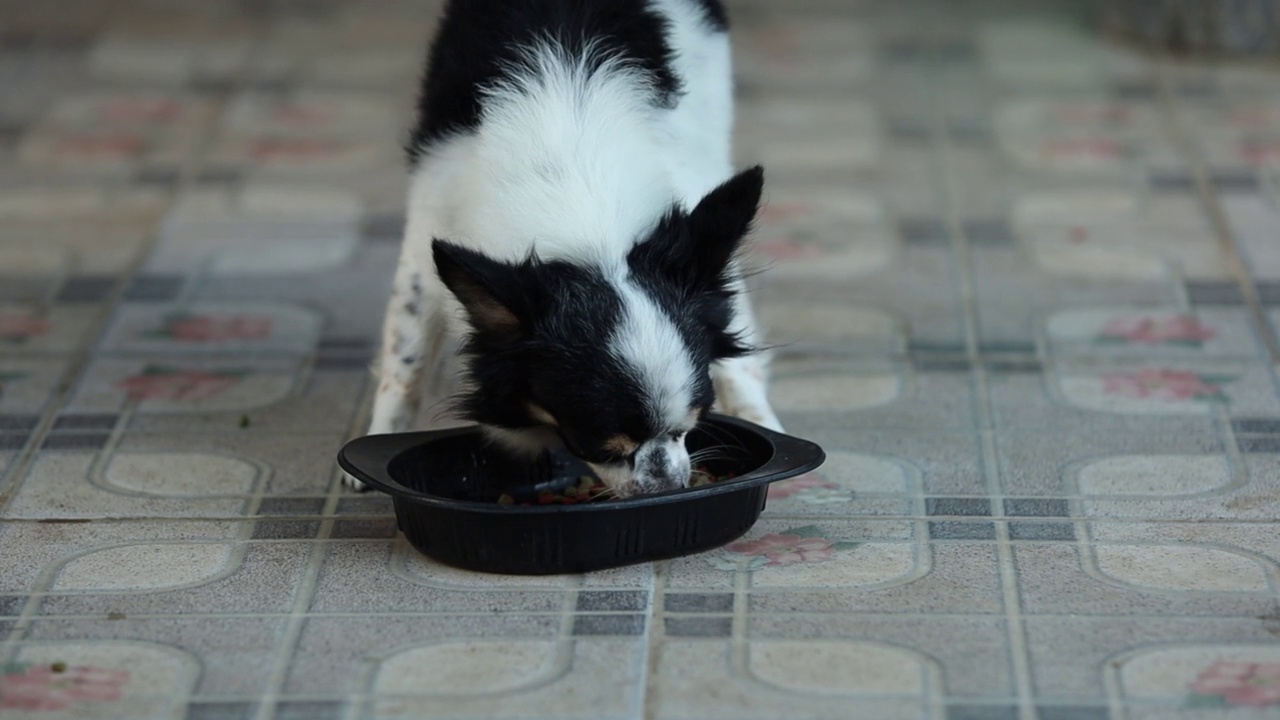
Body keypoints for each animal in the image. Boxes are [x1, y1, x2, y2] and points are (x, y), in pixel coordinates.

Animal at [350, 0, 783, 491]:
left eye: (689, 427)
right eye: (601, 446)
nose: (670, 486)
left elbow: (736, 343)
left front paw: (758, 418)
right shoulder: (429, 229)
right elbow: (407, 356)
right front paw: (380, 437)